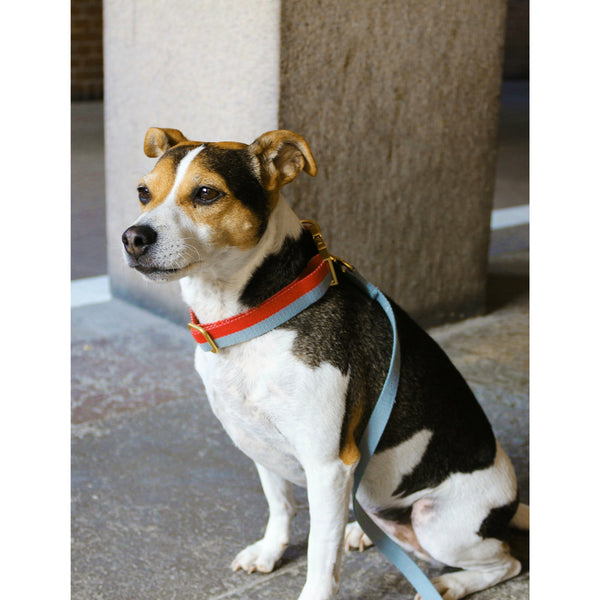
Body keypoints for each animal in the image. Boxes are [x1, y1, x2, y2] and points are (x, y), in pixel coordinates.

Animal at [123, 127, 528, 600]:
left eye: (206, 193)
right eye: (143, 192)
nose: (133, 238)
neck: (256, 315)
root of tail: (511, 504)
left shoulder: (328, 466)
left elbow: (320, 551)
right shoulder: (260, 443)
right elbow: (280, 505)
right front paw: (270, 551)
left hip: (442, 526)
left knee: (507, 562)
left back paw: (452, 583)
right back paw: (365, 532)